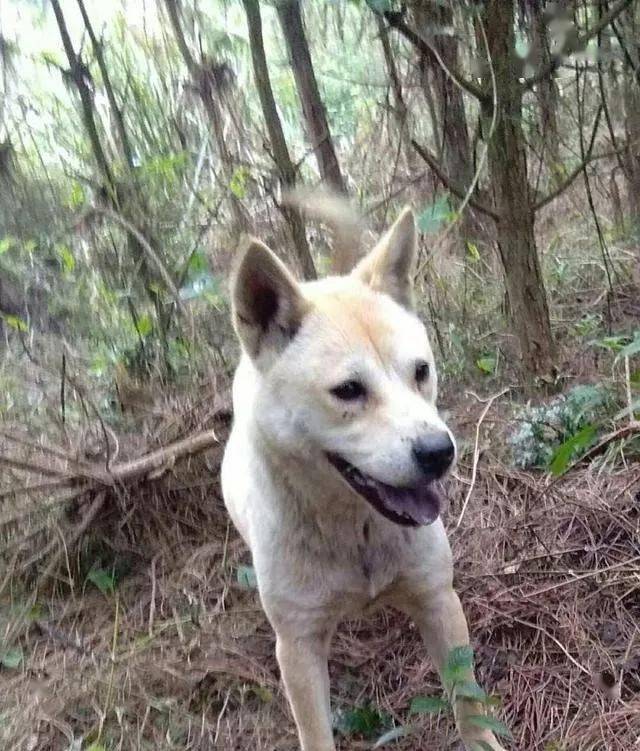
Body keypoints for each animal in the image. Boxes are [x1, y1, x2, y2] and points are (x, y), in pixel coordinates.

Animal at [220, 207, 504, 751]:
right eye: (349, 390)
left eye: (421, 371)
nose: (439, 453)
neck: (356, 530)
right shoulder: (298, 648)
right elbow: (316, 734)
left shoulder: (438, 600)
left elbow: (469, 705)